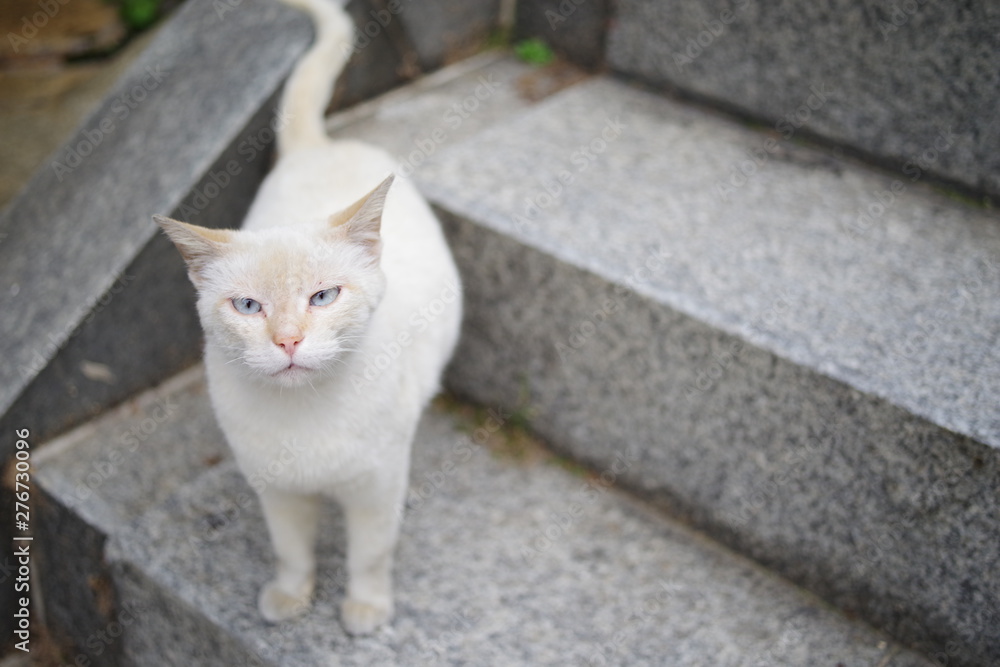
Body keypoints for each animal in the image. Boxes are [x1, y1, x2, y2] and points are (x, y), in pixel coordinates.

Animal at [152, 0, 460, 640]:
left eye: (323, 297)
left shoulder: (374, 489)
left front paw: (365, 612)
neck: (305, 416)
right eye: (249, 307)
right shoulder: (278, 492)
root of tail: (320, 145)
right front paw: (289, 600)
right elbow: (292, 553)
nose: (288, 341)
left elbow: (370, 555)